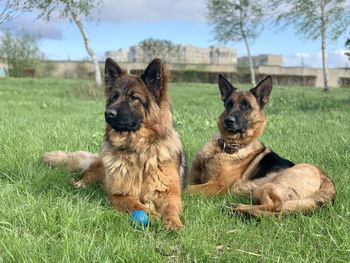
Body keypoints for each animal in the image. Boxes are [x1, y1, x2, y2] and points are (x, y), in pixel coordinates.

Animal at [43, 58, 186, 230]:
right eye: (114, 96)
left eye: (134, 97)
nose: (108, 113)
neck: (137, 150)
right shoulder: (119, 194)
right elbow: (135, 204)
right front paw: (151, 214)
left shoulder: (169, 193)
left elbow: (171, 208)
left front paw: (173, 223)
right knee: (85, 178)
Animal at [187, 75, 334, 218]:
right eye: (229, 104)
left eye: (246, 106)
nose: (228, 121)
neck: (224, 148)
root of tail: (324, 176)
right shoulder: (192, 176)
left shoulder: (217, 186)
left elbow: (188, 189)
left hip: (264, 187)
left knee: (274, 207)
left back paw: (239, 209)